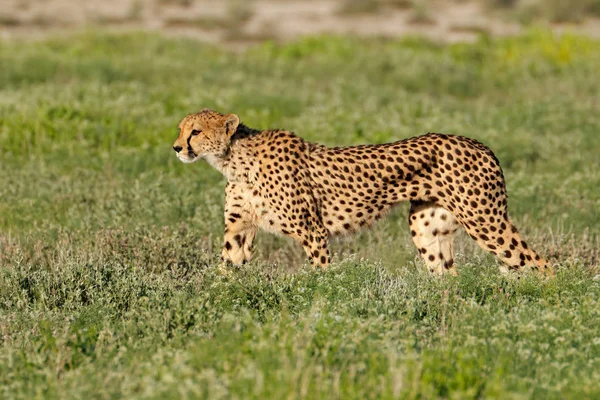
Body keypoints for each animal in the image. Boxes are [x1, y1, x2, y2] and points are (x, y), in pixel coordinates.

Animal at [171, 109, 552, 276]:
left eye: (196, 131)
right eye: (181, 128)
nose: (176, 148)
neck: (234, 159)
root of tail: (479, 143)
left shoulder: (312, 230)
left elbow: (321, 275)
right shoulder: (238, 228)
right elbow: (227, 269)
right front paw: (217, 305)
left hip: (484, 220)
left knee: (540, 263)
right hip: (427, 226)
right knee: (447, 276)